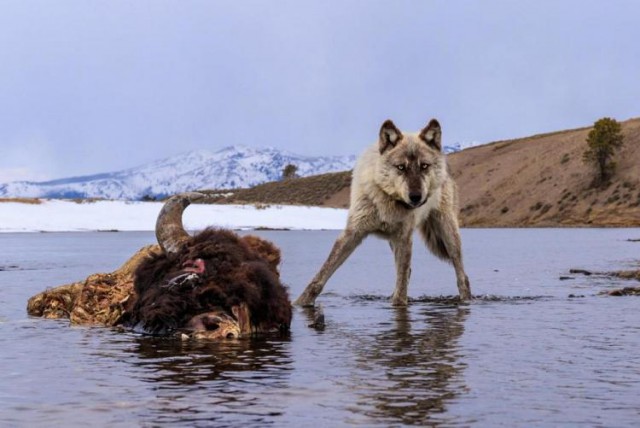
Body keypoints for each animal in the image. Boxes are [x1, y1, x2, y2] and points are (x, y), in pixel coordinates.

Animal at [296, 118, 470, 306]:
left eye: (424, 166)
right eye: (401, 167)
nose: (416, 197)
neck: (388, 201)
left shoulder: (404, 238)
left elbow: (401, 289)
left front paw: (399, 303)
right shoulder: (353, 233)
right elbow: (322, 274)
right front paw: (300, 302)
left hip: (448, 234)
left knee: (462, 276)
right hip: (395, 242)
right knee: (407, 272)